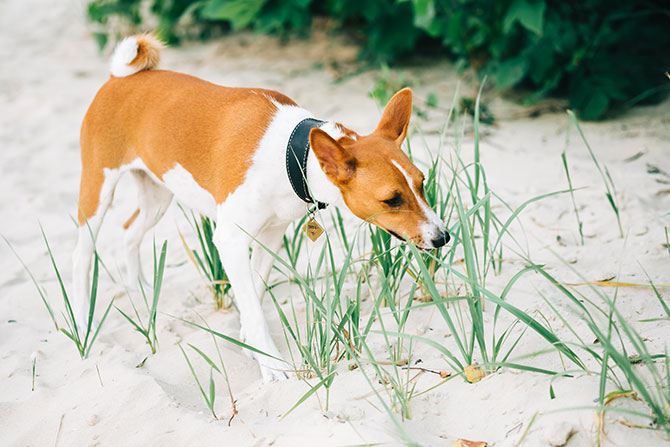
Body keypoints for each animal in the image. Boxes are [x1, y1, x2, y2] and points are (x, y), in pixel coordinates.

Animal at [73, 34, 452, 382]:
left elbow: (253, 292)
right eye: (392, 199)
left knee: (128, 233)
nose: (443, 238)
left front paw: (249, 343)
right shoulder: (229, 239)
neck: (292, 154)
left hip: (157, 197)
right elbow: (254, 307)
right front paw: (271, 363)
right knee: (83, 255)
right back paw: (83, 321)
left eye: (421, 183)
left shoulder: (271, 234)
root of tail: (119, 78)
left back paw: (139, 292)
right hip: (97, 194)